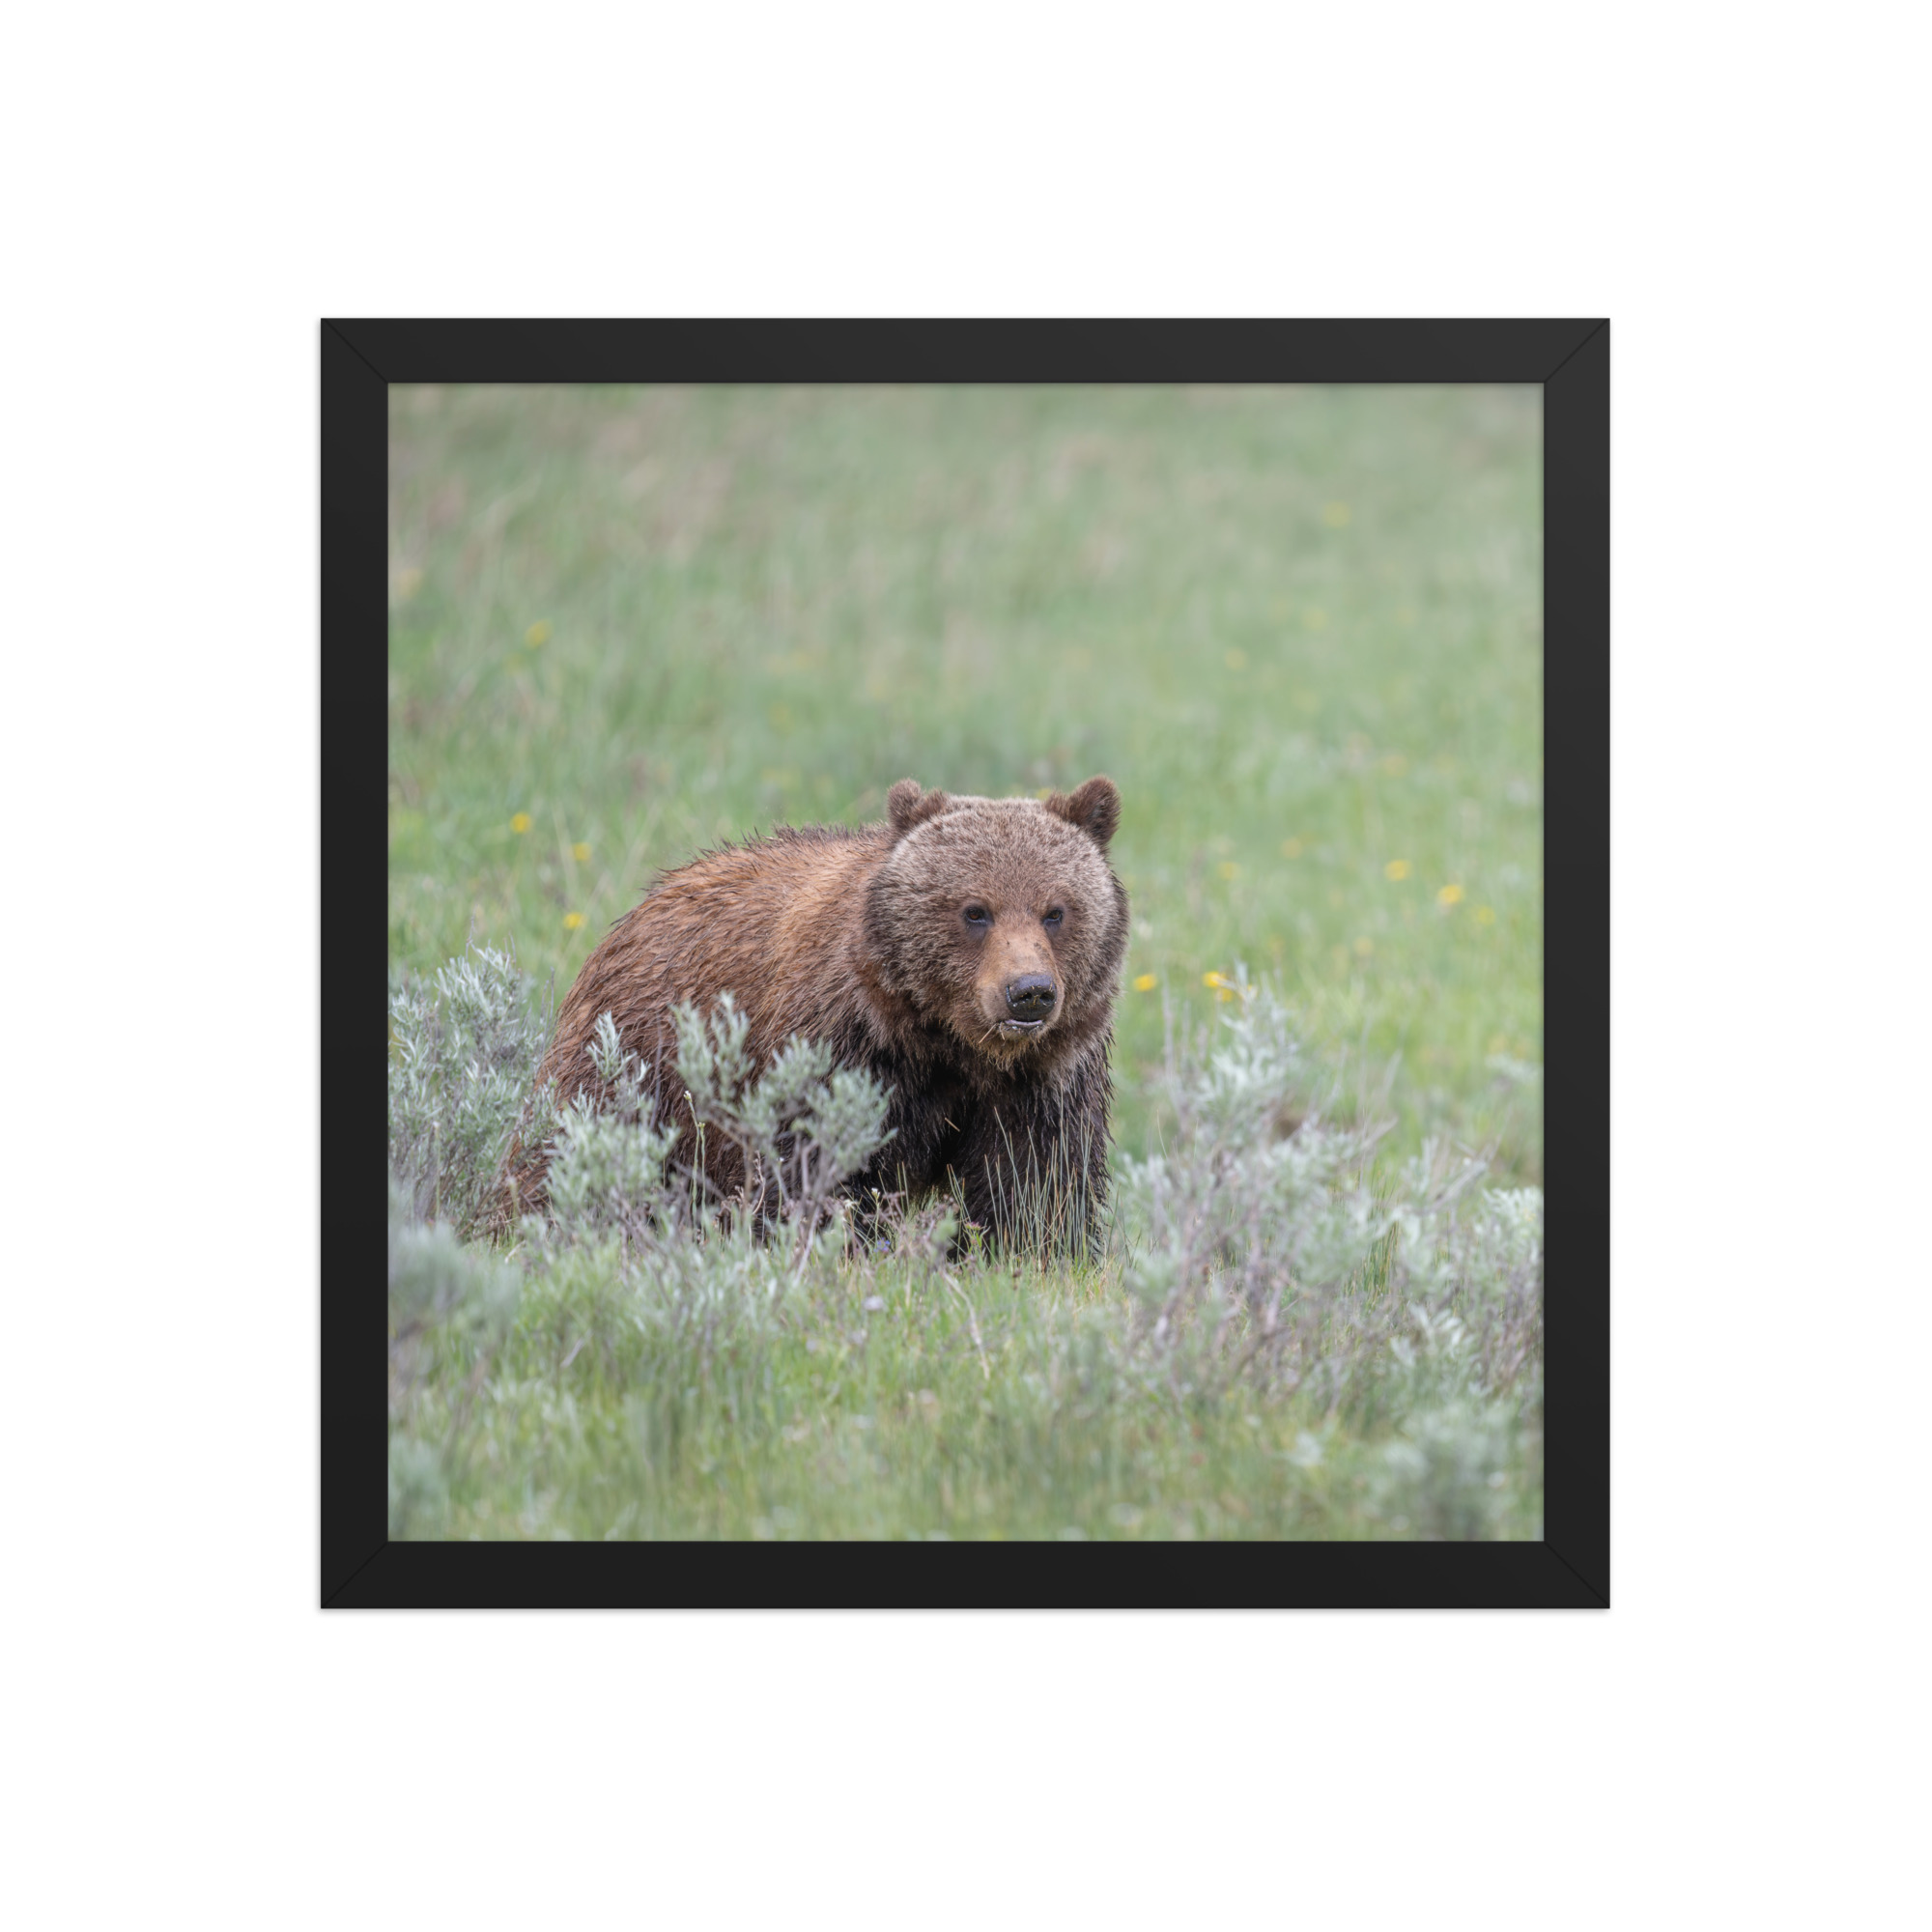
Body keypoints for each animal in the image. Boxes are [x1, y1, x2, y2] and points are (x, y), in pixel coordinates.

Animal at [494, 775, 1128, 1252]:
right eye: (975, 910)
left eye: (1055, 911)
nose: (1029, 992)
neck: (946, 1042)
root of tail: (637, 908)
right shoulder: (842, 1050)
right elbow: (815, 1169)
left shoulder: (1042, 1077)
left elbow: (1035, 1184)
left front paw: (1030, 1253)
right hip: (636, 1057)